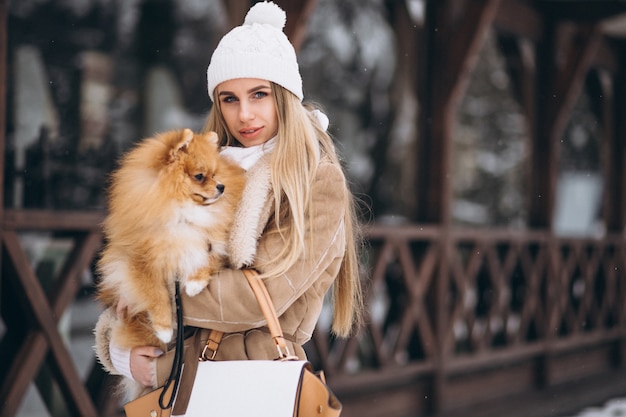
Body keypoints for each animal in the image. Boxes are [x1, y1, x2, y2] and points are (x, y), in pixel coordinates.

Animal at [97, 127, 244, 352]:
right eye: (200, 176)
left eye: (215, 174)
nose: (221, 186)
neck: (182, 212)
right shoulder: (139, 260)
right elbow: (156, 293)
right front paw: (164, 327)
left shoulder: (211, 243)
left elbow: (206, 259)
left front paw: (194, 283)